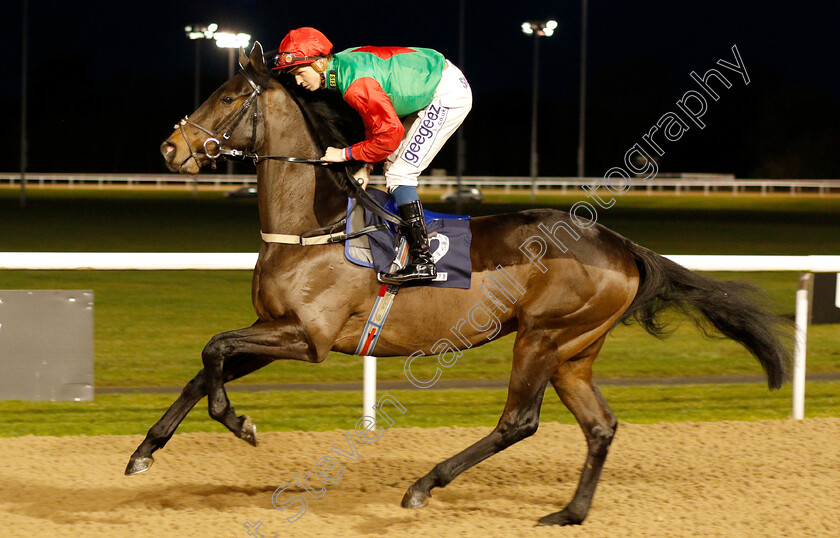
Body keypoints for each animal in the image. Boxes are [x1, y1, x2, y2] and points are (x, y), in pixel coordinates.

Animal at [128, 40, 792, 524]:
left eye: (227, 97)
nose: (169, 147)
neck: (315, 226)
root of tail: (621, 244)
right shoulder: (274, 328)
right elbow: (205, 365)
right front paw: (144, 452)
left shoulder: (307, 338)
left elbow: (213, 348)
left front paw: (239, 423)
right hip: (575, 351)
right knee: (600, 425)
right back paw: (569, 513)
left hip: (542, 337)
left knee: (518, 422)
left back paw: (425, 485)